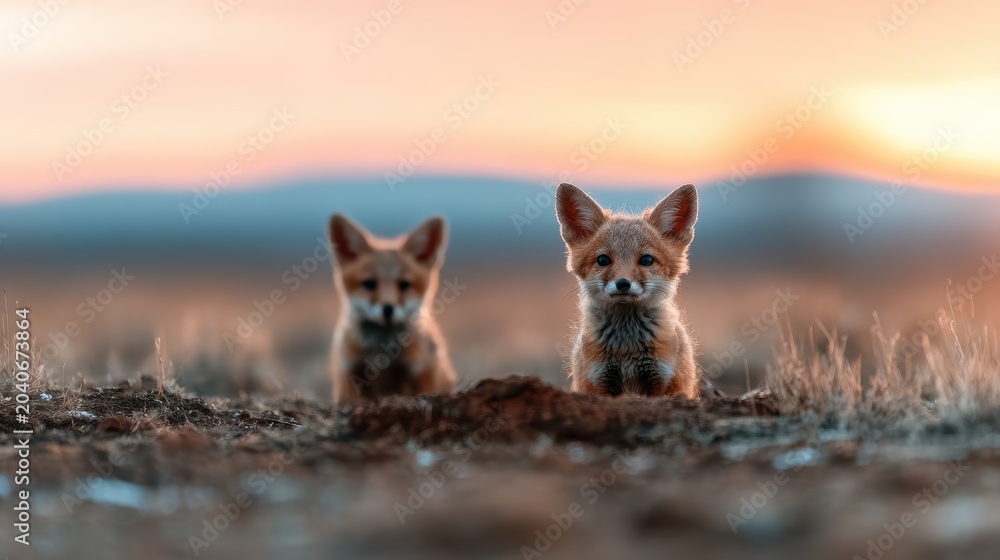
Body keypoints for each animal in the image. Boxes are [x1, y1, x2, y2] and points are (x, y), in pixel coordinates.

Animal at [327, 214, 457, 404]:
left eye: (404, 285)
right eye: (369, 284)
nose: (388, 309)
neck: (382, 355)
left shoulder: (420, 371)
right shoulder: (349, 371)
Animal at [554, 182, 700, 399]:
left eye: (646, 260)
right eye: (603, 260)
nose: (623, 283)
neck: (627, 348)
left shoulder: (660, 380)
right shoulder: (599, 380)